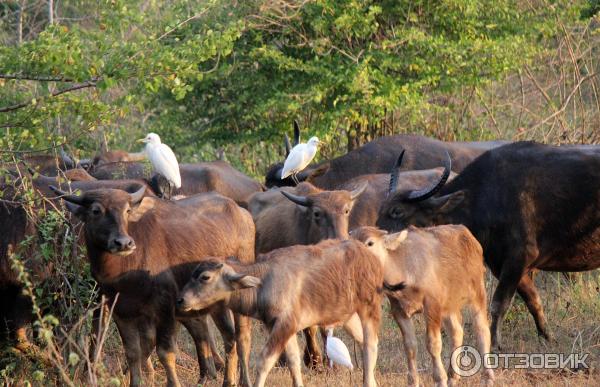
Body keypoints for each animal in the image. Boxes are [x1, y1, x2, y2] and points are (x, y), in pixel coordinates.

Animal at [53, 186, 255, 387]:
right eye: (96, 211)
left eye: (127, 210)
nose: (124, 243)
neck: (124, 273)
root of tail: (242, 212)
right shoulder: (121, 311)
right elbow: (133, 352)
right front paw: (134, 381)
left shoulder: (165, 308)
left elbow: (165, 352)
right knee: (225, 335)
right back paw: (219, 379)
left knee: (241, 337)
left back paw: (242, 380)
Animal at [350, 224, 494, 387]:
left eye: (370, 243)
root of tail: (467, 234)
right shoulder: (398, 310)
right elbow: (410, 345)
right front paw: (413, 381)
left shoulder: (432, 305)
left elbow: (433, 343)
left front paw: (440, 378)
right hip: (449, 305)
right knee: (457, 332)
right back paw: (453, 376)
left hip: (478, 293)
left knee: (482, 330)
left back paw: (487, 377)